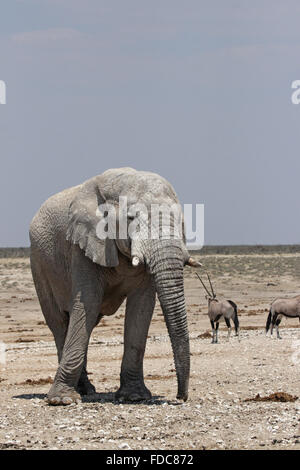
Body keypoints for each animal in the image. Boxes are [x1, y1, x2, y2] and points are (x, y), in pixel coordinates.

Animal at [29, 168, 200, 404]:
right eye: (131, 218)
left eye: (182, 221)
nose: (180, 397)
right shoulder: (82, 245)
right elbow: (88, 303)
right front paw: (61, 401)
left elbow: (141, 308)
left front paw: (134, 397)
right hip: (39, 264)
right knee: (60, 322)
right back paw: (78, 391)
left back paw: (86, 390)